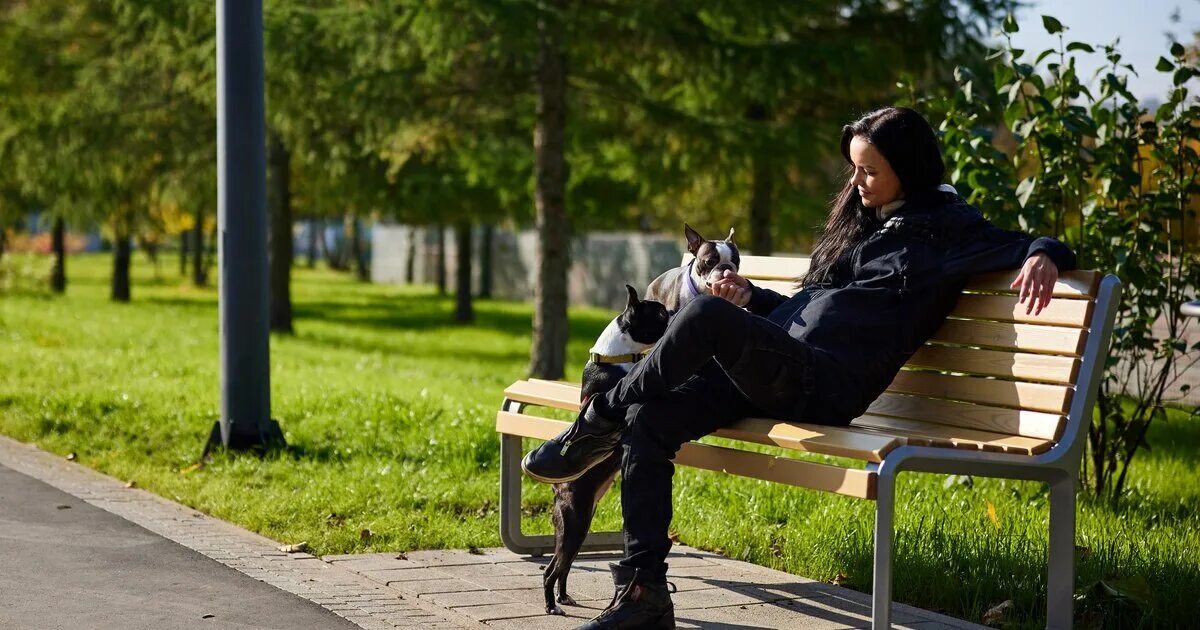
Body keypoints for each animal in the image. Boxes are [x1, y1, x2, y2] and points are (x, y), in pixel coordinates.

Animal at [542, 285, 672, 614]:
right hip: (574, 524)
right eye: (660, 314)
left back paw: (563, 597)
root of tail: (558, 489)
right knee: (552, 569)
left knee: (563, 566)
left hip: (578, 526)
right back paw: (551, 605)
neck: (616, 356)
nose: (674, 310)